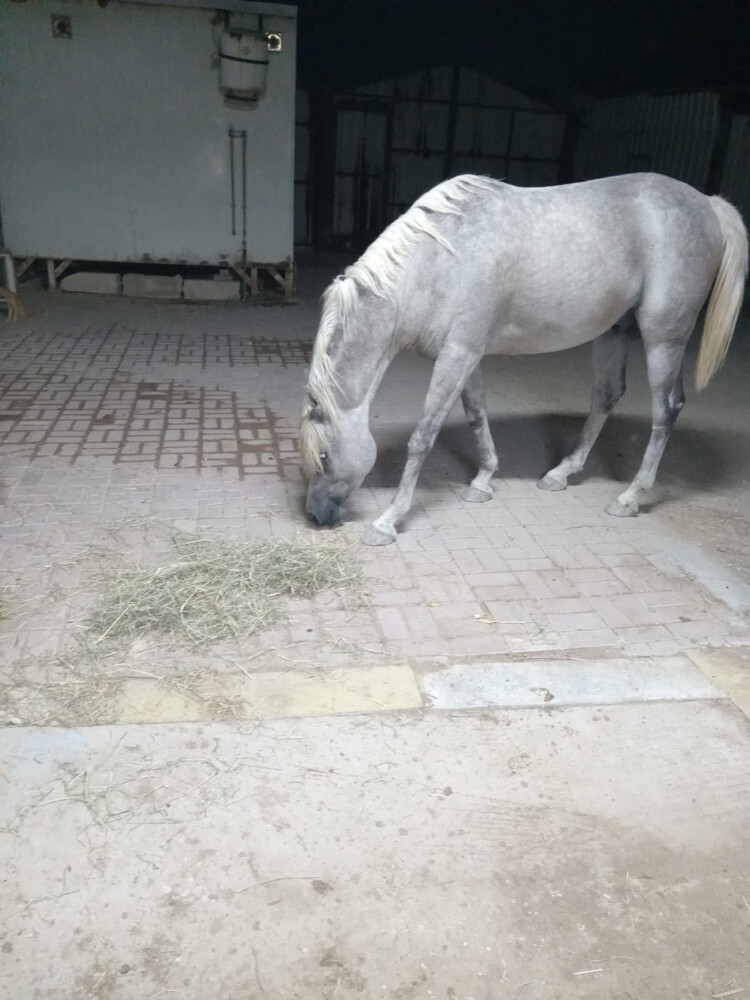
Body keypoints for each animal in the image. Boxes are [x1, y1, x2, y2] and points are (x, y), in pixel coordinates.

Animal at [300, 172, 748, 546]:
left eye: (323, 455)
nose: (316, 516)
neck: (438, 261)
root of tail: (708, 203)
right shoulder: (466, 356)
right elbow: (476, 416)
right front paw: (482, 481)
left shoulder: (457, 356)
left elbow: (422, 439)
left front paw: (389, 520)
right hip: (613, 332)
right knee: (607, 395)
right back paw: (561, 473)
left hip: (663, 339)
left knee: (666, 409)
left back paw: (630, 497)